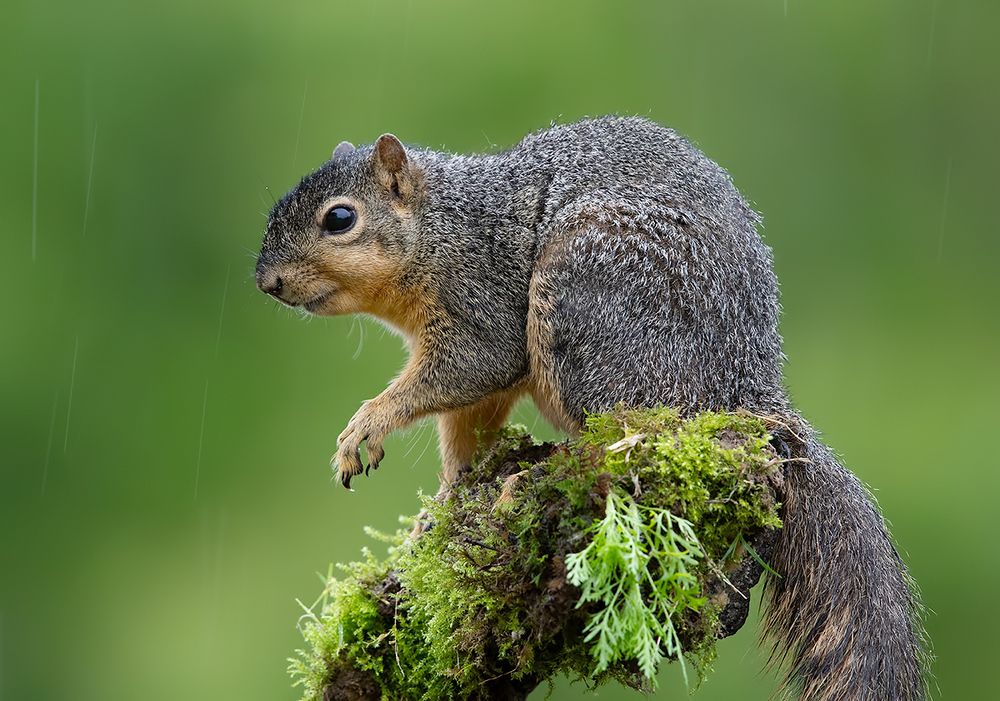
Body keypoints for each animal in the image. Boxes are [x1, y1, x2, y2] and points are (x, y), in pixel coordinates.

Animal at [255, 116, 928, 700]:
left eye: (341, 218)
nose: (267, 283)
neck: (442, 225)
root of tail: (750, 394)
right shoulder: (479, 372)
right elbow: (465, 434)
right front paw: (440, 510)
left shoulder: (483, 303)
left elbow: (470, 368)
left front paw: (364, 427)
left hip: (584, 296)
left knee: (628, 426)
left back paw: (539, 473)